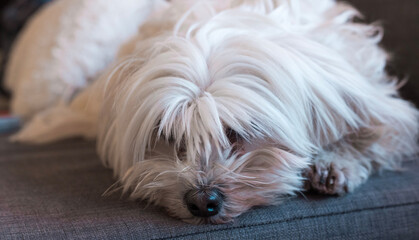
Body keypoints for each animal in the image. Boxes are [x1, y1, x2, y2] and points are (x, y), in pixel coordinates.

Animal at [6, 0, 419, 225]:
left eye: (238, 133)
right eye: (169, 136)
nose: (202, 203)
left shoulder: (370, 91)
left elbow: (380, 134)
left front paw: (337, 162)